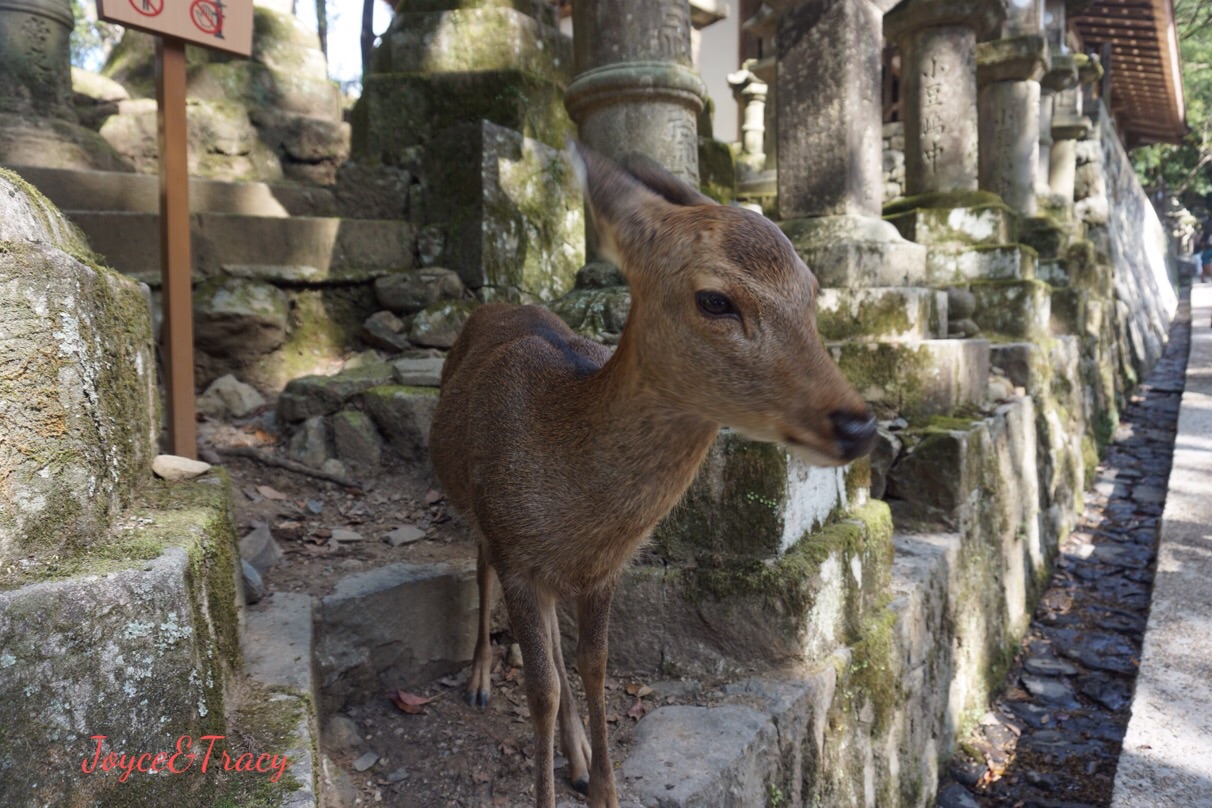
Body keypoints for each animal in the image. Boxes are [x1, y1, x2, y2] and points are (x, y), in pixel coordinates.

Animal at [431, 142, 877, 804]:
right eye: (715, 299)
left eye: (812, 291)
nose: (857, 425)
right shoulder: (514, 547)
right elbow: (542, 690)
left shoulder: (603, 569)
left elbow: (591, 666)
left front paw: (602, 786)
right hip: (471, 504)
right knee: (479, 567)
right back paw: (481, 681)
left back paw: (577, 756)